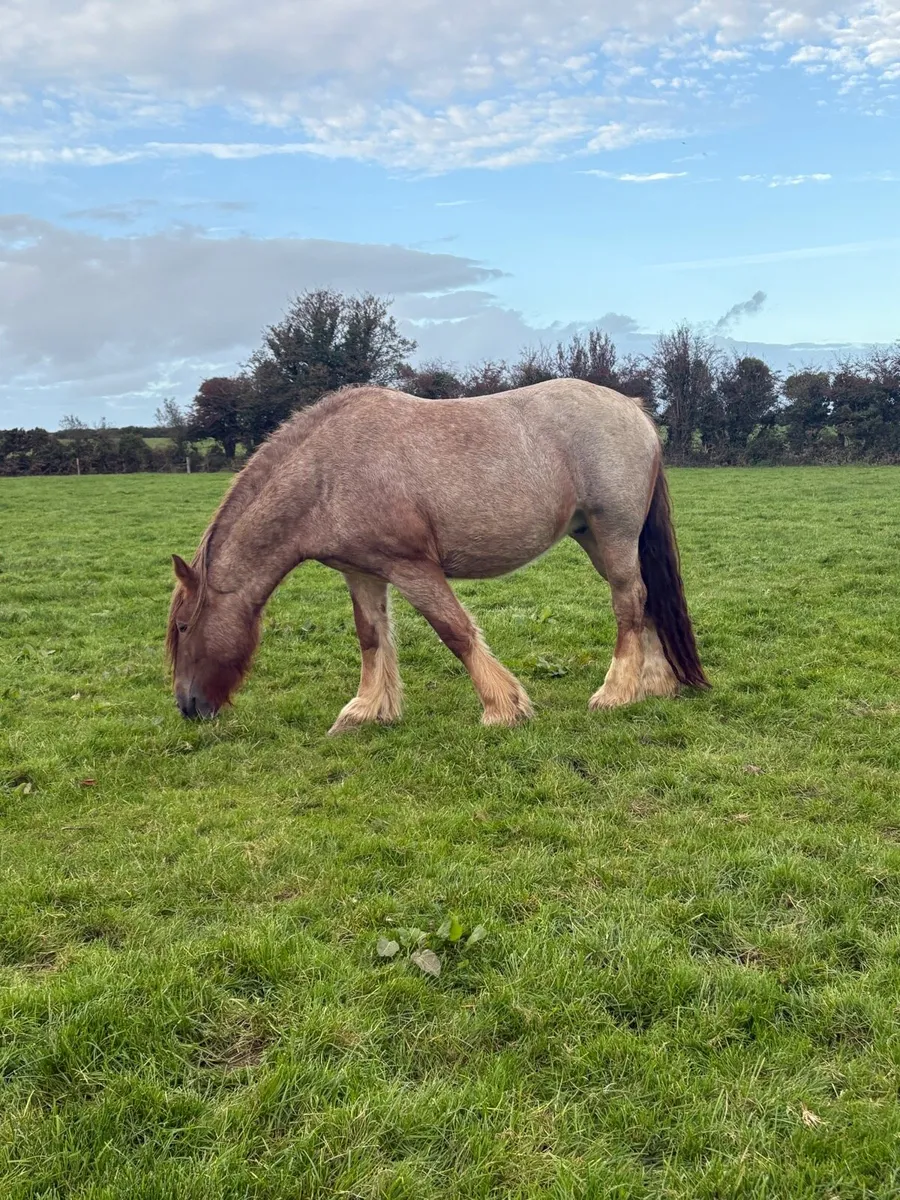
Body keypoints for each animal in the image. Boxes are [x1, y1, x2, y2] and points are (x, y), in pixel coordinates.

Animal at [166, 379, 708, 733]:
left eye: (183, 627)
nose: (187, 707)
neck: (328, 474)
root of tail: (635, 411)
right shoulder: (362, 572)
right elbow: (371, 636)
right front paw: (367, 710)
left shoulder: (412, 567)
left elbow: (455, 630)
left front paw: (502, 707)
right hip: (596, 538)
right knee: (644, 599)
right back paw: (653, 684)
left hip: (613, 532)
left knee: (628, 601)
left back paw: (615, 693)